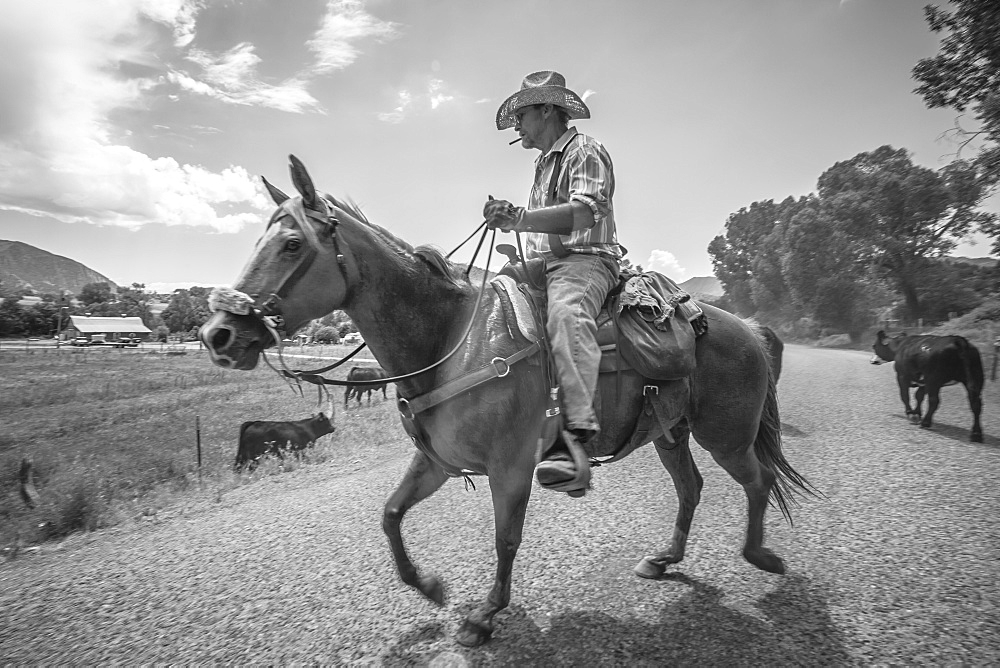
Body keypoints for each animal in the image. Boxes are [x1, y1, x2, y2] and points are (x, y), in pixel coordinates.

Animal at [201, 155, 812, 648]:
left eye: (293, 244)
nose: (218, 334)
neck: (449, 338)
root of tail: (748, 329)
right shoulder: (437, 460)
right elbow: (391, 514)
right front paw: (429, 585)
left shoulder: (511, 466)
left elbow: (505, 538)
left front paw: (484, 615)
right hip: (670, 432)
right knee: (691, 487)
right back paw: (665, 558)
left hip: (725, 433)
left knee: (756, 480)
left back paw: (760, 555)